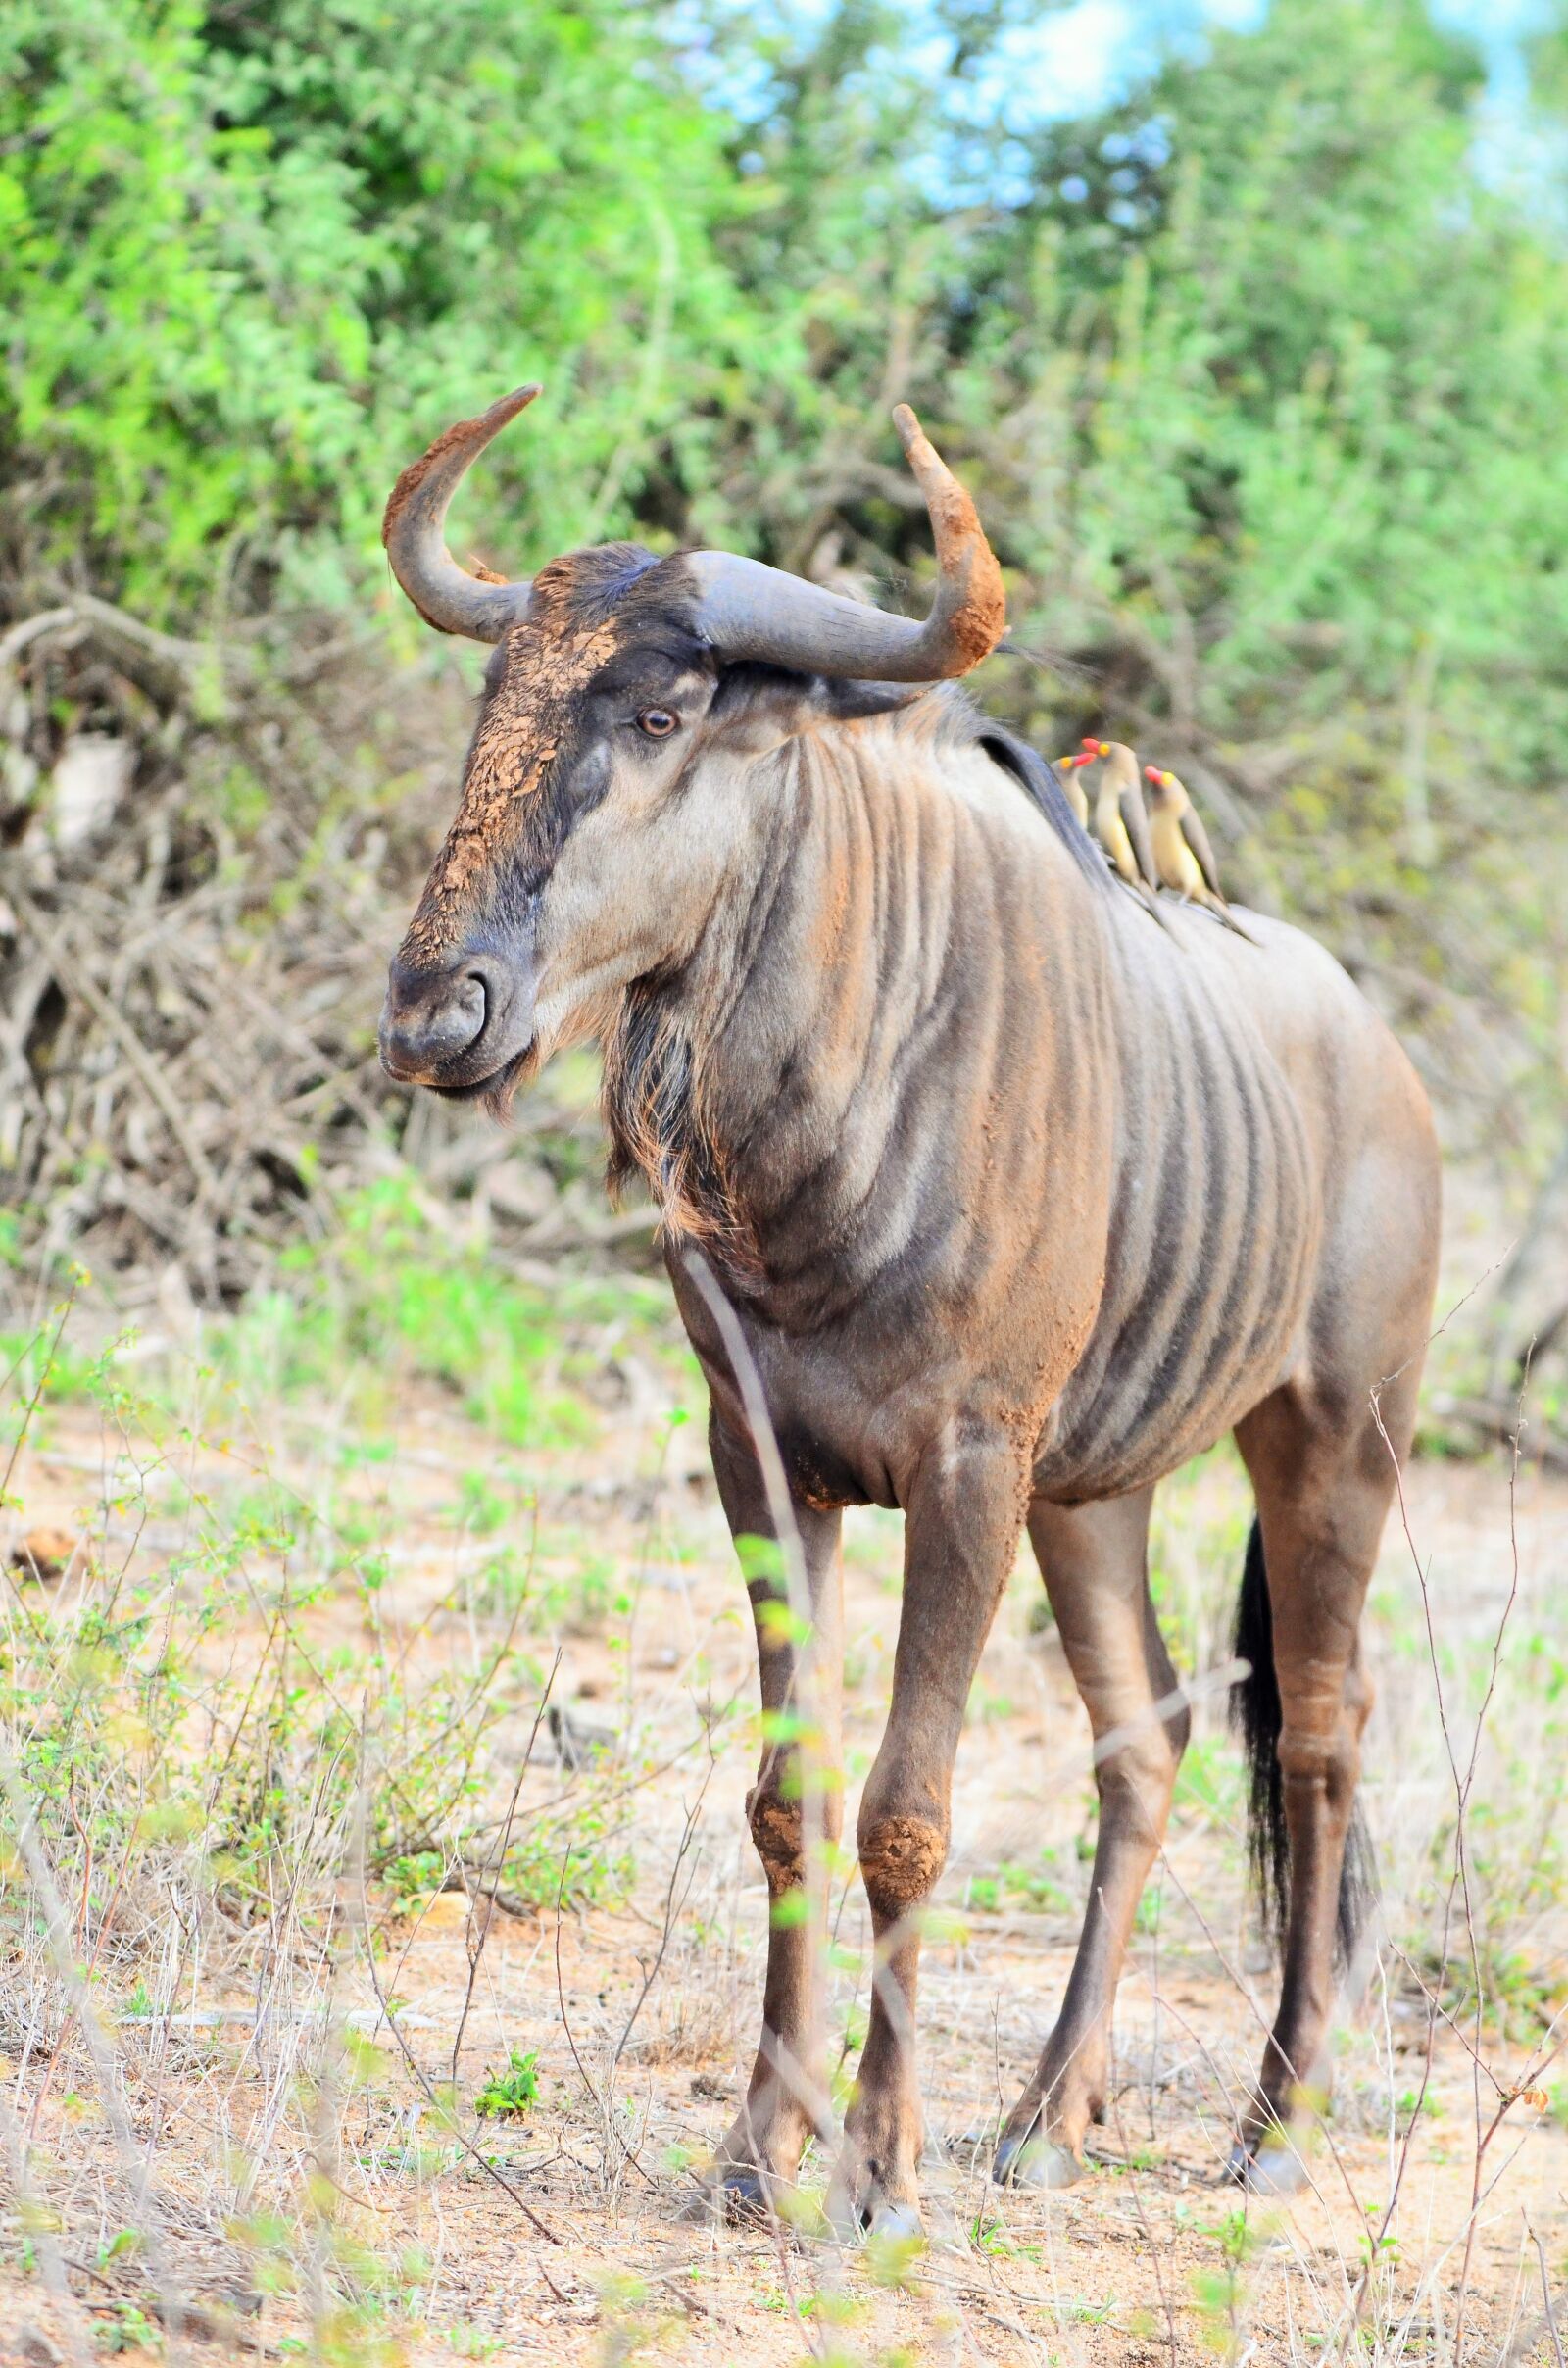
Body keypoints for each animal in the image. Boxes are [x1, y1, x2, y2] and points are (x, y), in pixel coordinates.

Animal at [377, 385, 1440, 2234]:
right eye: (494, 705)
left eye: (659, 710)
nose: (441, 1010)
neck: (842, 1103)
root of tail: (1386, 1060)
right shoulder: (764, 1464)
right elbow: (789, 1796)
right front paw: (760, 2146)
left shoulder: (961, 1471)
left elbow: (907, 1811)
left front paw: (876, 2166)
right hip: (1095, 1496)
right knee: (1147, 1737)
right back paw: (1049, 2113)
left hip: (1331, 1451)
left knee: (1316, 1744)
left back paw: (1276, 2126)